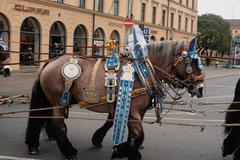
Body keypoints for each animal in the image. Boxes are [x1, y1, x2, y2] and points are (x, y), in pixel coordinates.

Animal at [24, 39, 204, 159]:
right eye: (194, 62)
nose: (201, 88)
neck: (142, 72)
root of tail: (51, 61)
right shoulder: (132, 111)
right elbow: (138, 135)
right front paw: (123, 151)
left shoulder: (130, 109)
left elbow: (126, 131)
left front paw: (113, 145)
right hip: (57, 101)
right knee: (58, 126)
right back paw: (69, 151)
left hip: (55, 101)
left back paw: (35, 144)